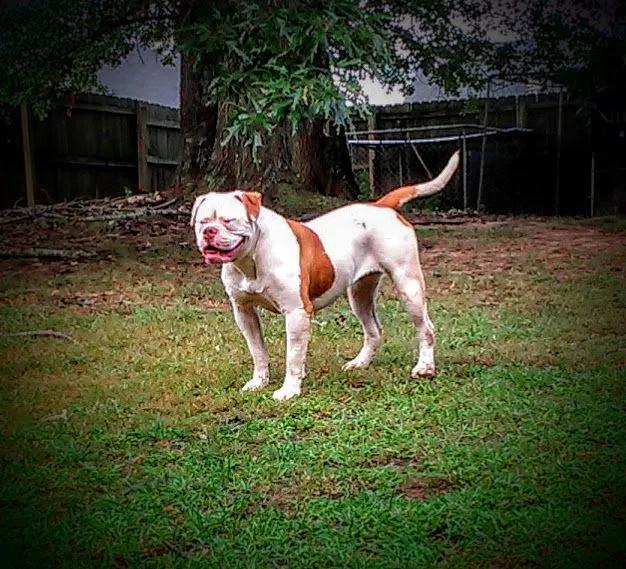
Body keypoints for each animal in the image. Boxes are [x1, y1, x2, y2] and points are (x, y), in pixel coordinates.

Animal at [190, 151, 458, 400]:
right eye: (202, 221)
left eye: (229, 220)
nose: (209, 231)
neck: (251, 258)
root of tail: (382, 205)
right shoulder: (243, 311)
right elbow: (257, 350)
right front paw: (259, 381)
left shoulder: (296, 313)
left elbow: (293, 356)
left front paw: (289, 390)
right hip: (359, 293)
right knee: (373, 330)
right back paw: (360, 363)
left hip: (408, 285)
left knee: (426, 328)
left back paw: (424, 367)